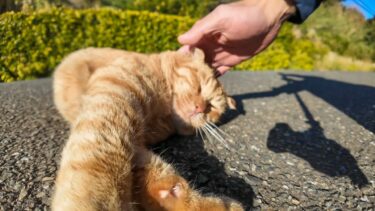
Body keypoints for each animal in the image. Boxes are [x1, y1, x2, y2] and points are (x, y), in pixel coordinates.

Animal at [52, 47, 241, 211]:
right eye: (199, 87)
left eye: (211, 107)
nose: (199, 108)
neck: (162, 115)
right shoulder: (115, 96)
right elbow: (98, 159)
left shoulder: (138, 144)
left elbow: (152, 168)